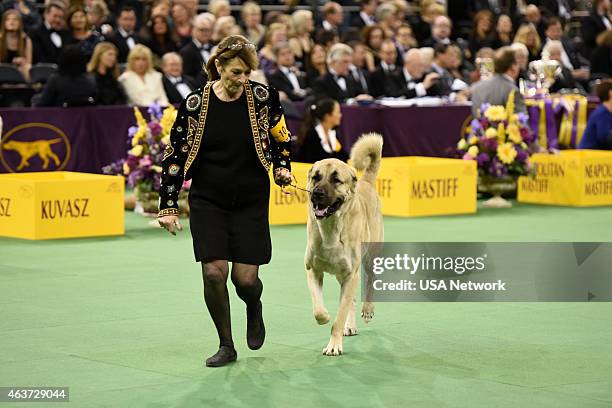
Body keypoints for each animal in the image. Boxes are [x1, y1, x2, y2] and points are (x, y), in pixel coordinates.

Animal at [304, 133, 382, 354]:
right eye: (316, 177)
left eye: (336, 180)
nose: (317, 193)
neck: (331, 228)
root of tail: (365, 181)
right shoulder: (313, 270)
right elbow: (319, 308)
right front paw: (324, 317)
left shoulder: (350, 274)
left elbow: (338, 318)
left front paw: (333, 346)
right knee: (351, 301)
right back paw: (350, 325)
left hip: (370, 257)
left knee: (370, 283)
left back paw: (367, 310)